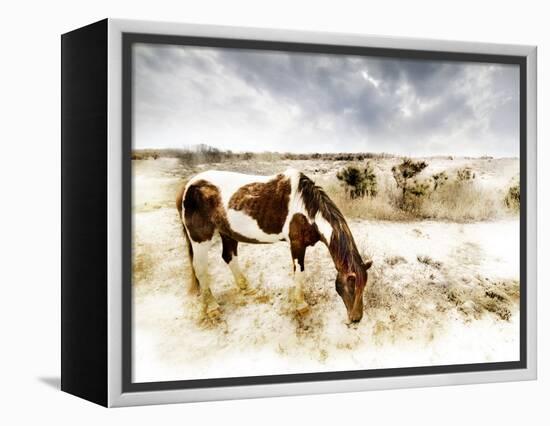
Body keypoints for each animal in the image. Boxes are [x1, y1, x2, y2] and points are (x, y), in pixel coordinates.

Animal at [178, 168, 376, 322]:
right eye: (351, 286)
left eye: (363, 287)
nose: (356, 319)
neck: (306, 209)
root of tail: (188, 186)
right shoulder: (296, 245)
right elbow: (299, 274)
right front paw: (301, 305)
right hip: (200, 239)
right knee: (200, 269)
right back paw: (212, 307)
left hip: (227, 232)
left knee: (229, 256)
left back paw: (247, 289)